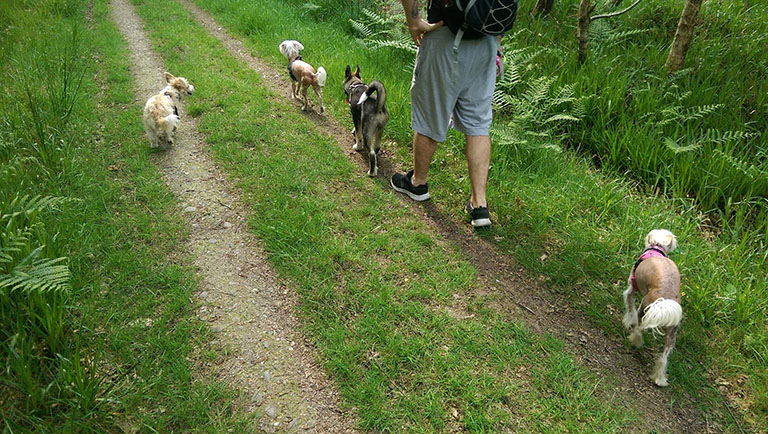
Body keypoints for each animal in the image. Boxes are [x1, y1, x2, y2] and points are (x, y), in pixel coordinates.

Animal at [624, 229, 684, 388]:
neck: (657, 248)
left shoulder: (631, 289)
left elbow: (630, 308)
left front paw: (628, 322)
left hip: (645, 308)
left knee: (639, 327)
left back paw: (635, 340)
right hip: (672, 334)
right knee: (664, 358)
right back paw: (659, 378)